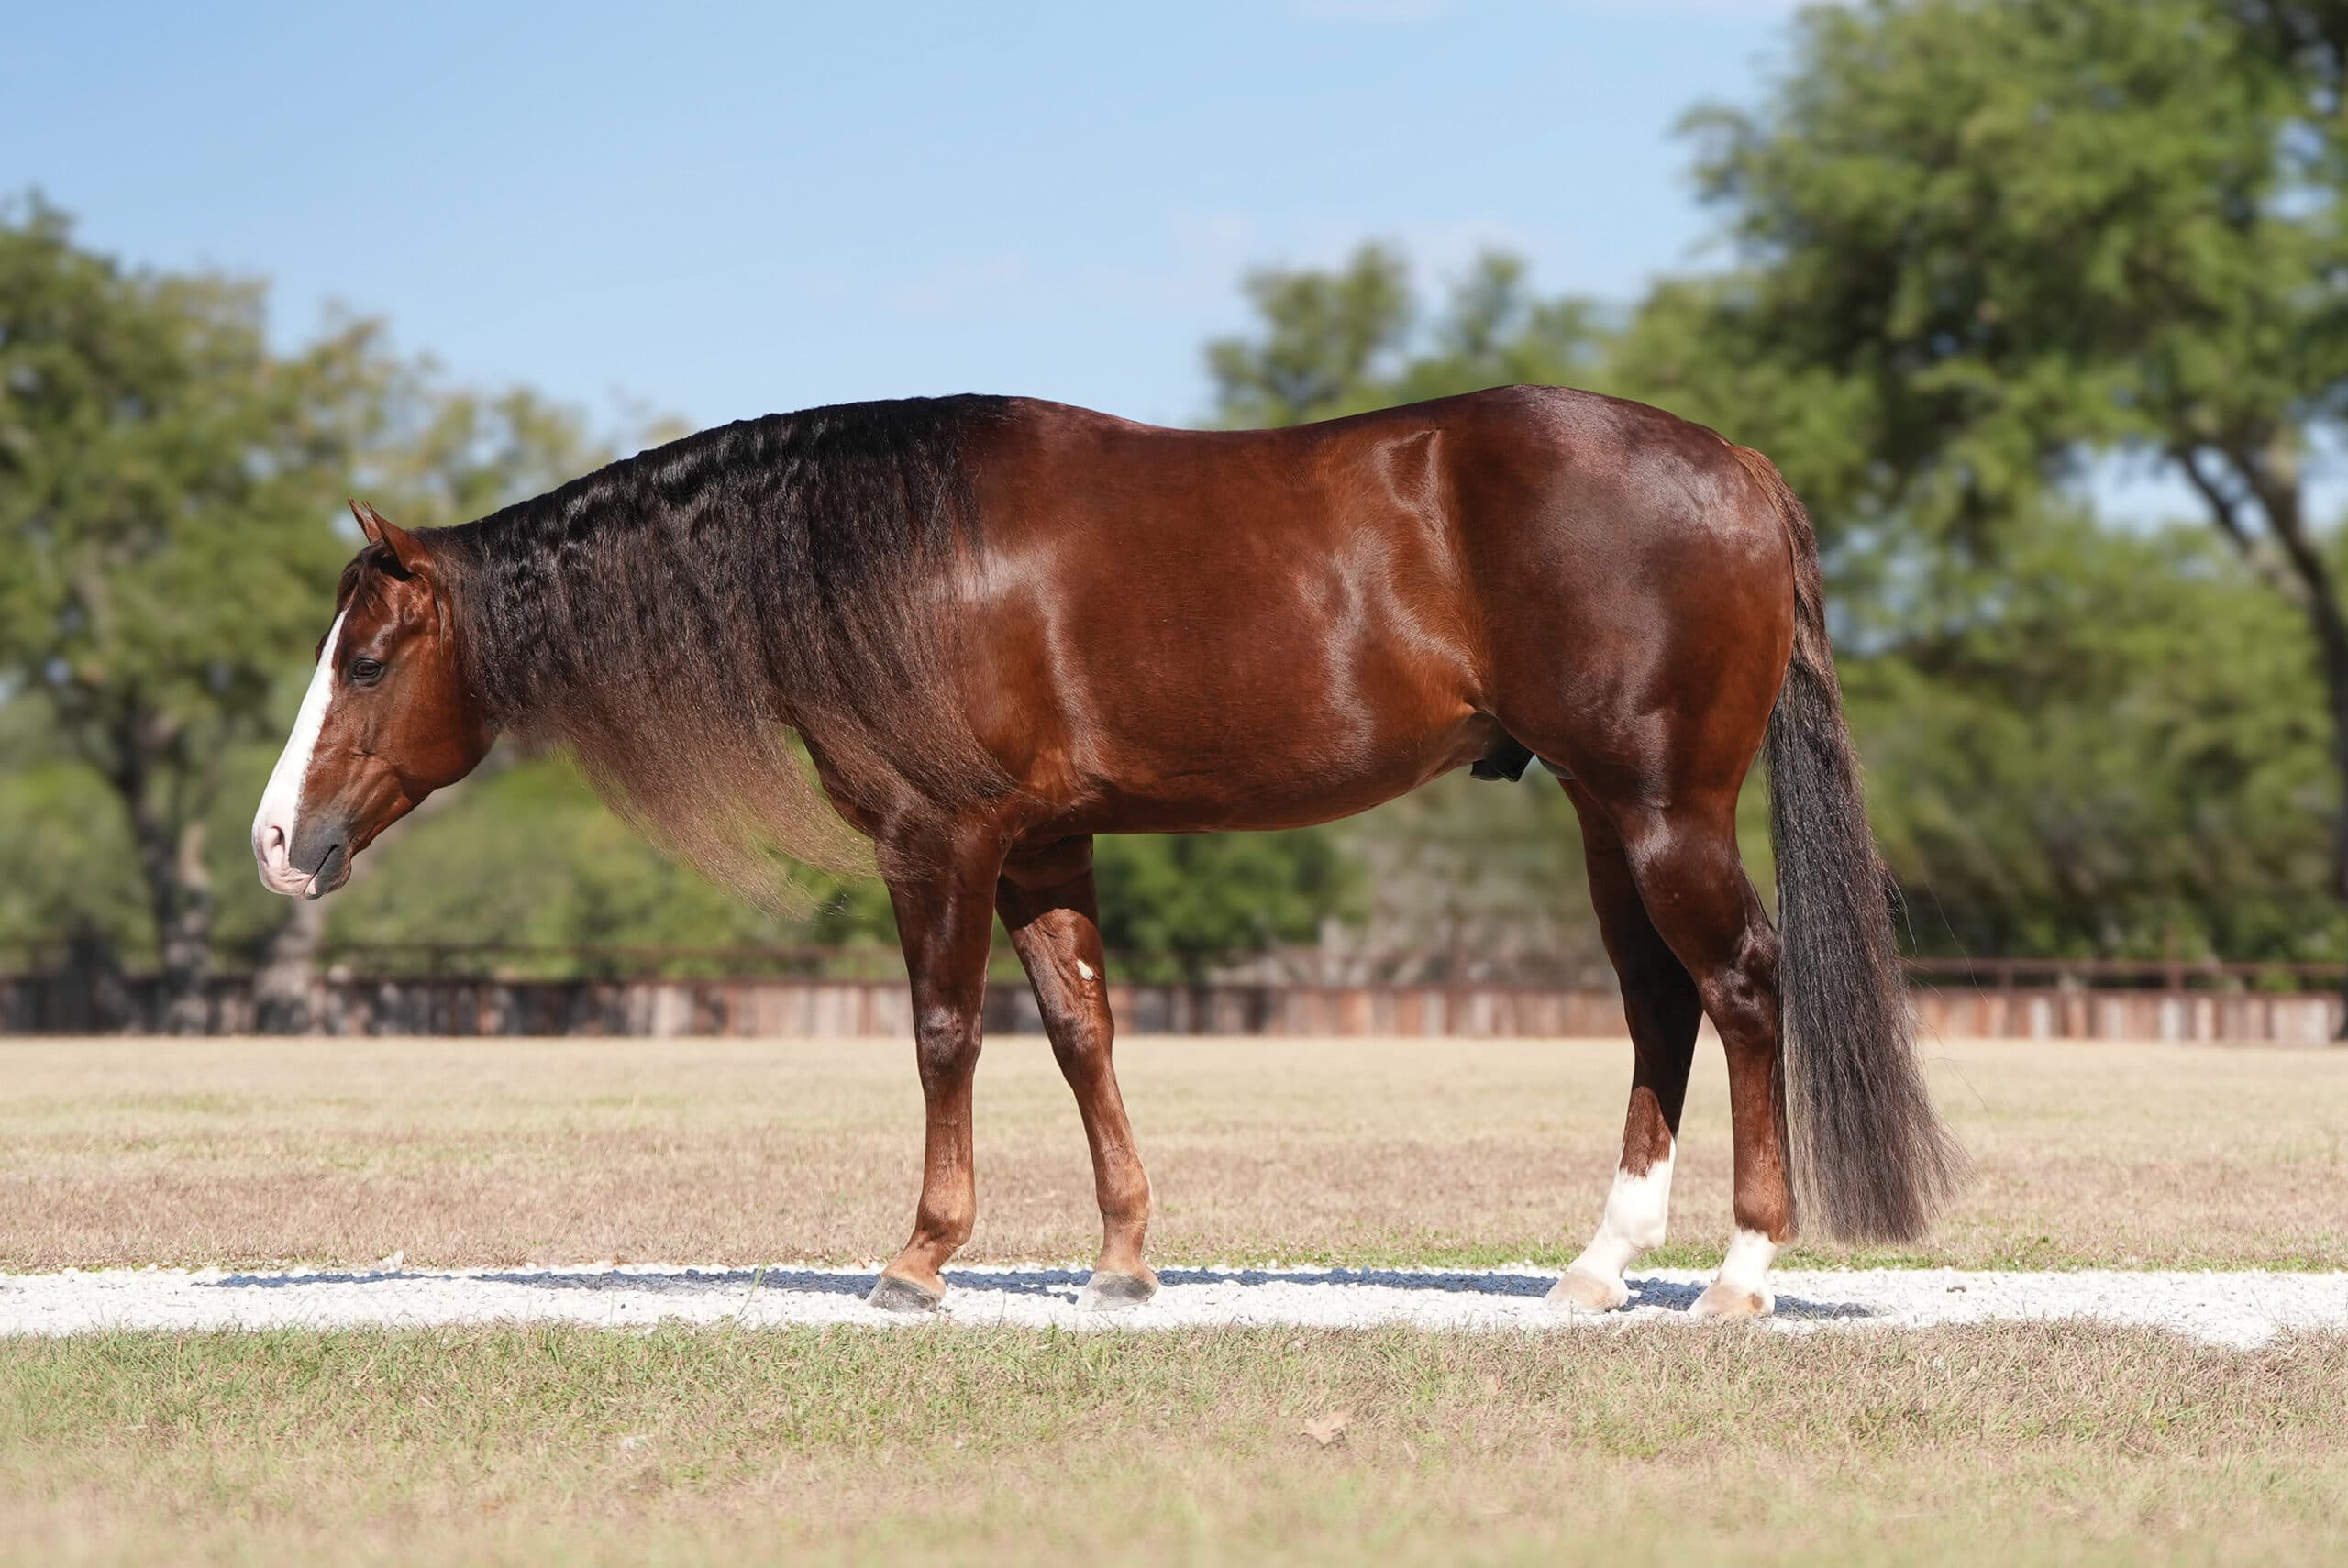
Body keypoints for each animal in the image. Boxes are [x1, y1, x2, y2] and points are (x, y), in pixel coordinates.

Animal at [251, 386, 1962, 1319]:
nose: (278, 841)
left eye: (371, 655)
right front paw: (1125, 1259)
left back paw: (1739, 1273)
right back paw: (1598, 1268)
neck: (892, 552)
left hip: (1664, 811)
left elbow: (945, 1036)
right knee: (1660, 1008)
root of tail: (1742, 470)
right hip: (1611, 820)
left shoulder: (941, 844)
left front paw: (921, 1257)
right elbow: (1084, 1033)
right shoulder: (1043, 849)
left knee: (1743, 987)